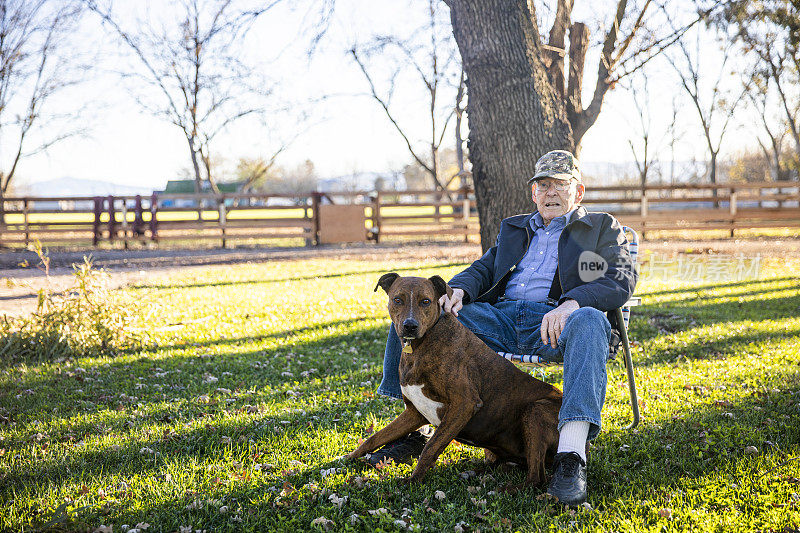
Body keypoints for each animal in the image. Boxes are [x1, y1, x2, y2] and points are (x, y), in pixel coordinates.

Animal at [348, 272, 564, 484]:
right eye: (397, 299)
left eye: (426, 301)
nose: (410, 326)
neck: (421, 344)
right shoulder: (414, 413)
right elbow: (374, 438)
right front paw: (349, 458)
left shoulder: (464, 403)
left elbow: (431, 447)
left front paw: (413, 481)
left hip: (536, 410)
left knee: (536, 479)